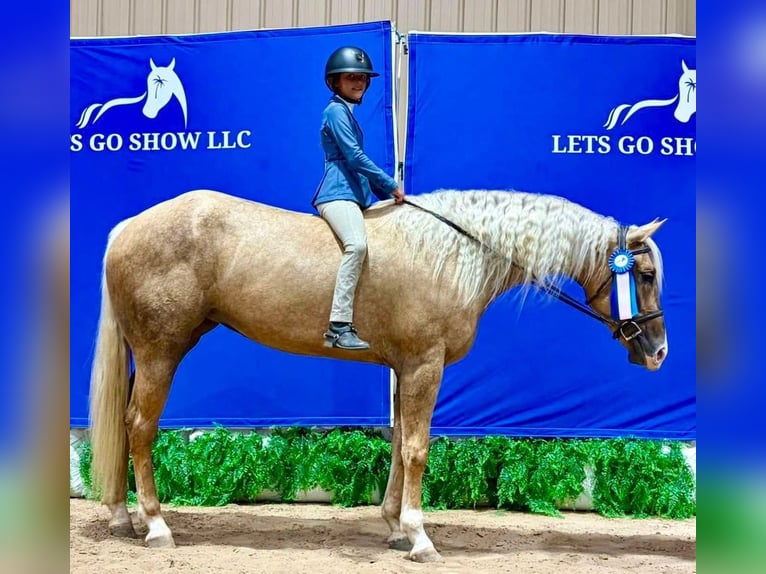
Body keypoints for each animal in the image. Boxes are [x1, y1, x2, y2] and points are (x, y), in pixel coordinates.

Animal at [88, 188, 668, 562]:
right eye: (643, 272)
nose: (659, 351)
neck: (451, 253)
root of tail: (126, 228)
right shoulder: (424, 366)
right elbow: (417, 449)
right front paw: (419, 537)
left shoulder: (404, 369)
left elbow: (397, 444)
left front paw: (394, 528)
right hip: (161, 352)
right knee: (140, 428)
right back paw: (156, 525)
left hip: (147, 355)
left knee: (124, 425)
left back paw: (122, 517)